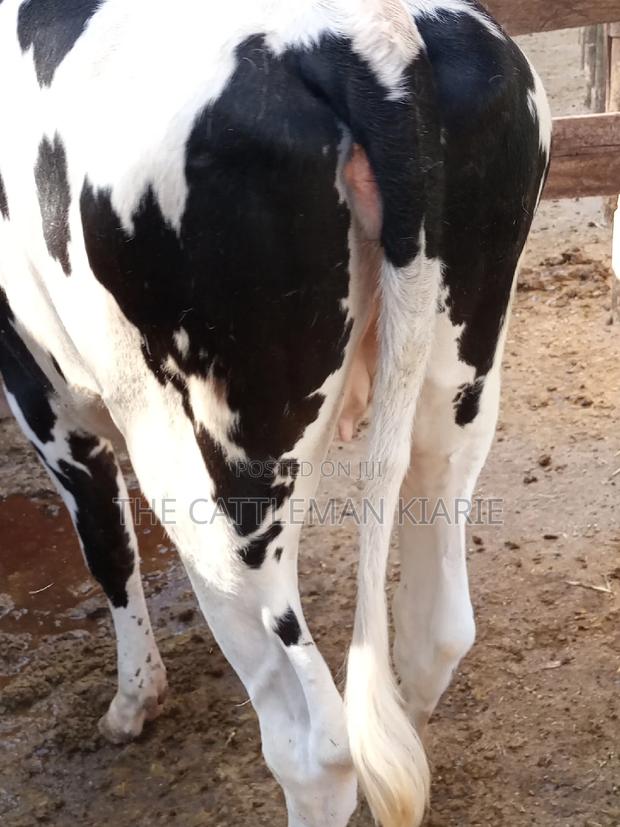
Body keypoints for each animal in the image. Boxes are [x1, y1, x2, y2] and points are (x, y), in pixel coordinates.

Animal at [0, 1, 551, 825]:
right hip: (461, 380)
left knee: (314, 743)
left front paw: (133, 702)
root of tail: (369, 36)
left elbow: (107, 546)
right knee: (431, 635)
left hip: (207, 468)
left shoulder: (41, 389)